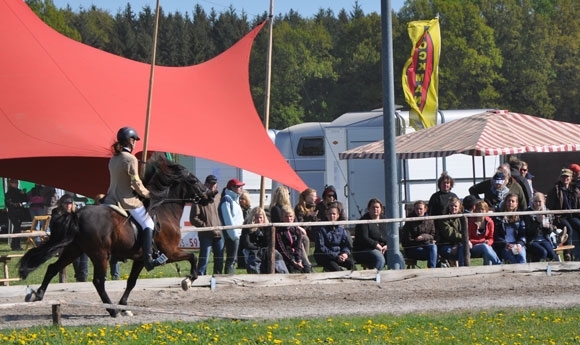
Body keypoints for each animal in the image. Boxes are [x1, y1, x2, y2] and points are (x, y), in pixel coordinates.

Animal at [18, 155, 214, 316]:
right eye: (194, 180)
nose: (211, 196)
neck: (164, 209)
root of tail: (76, 214)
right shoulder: (170, 252)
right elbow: (192, 257)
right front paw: (188, 281)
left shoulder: (141, 259)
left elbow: (132, 282)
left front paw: (124, 305)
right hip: (100, 254)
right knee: (98, 281)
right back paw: (112, 310)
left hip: (74, 250)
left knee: (53, 268)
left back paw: (37, 295)